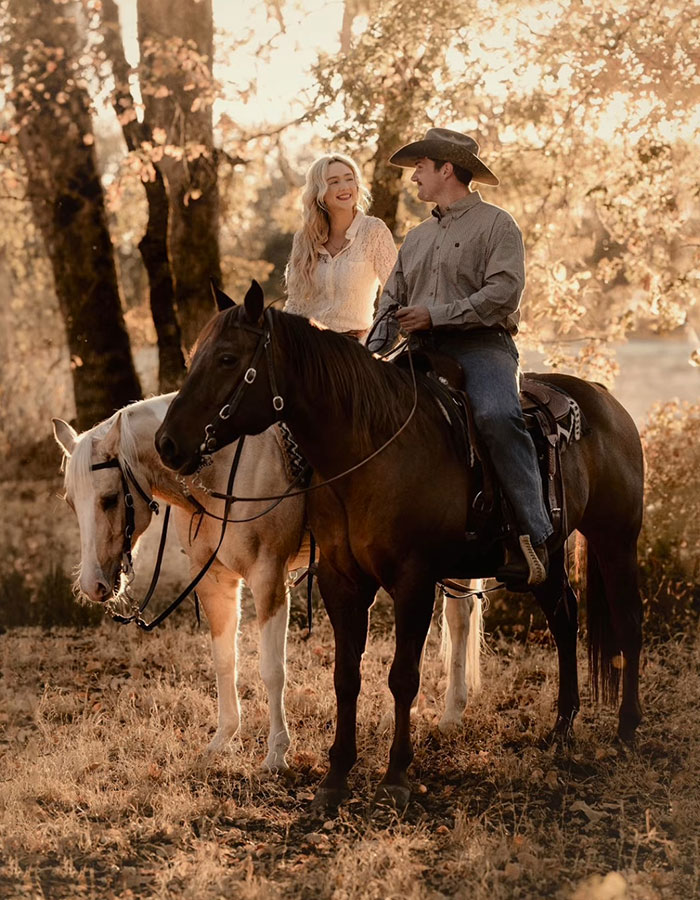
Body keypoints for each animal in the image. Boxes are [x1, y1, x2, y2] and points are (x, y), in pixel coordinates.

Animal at [52, 398, 306, 768]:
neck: (223, 472)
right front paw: (222, 740)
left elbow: (272, 669)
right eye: (71, 503)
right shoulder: (214, 581)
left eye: (110, 499)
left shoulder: (268, 577)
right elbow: (224, 660)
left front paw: (276, 754)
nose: (91, 585)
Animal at [154, 284, 644, 812]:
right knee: (565, 619)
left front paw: (395, 776)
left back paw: (627, 728)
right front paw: (336, 776)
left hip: (616, 541)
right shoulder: (341, 582)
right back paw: (562, 728)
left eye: (227, 358)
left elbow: (402, 677)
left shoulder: (414, 582)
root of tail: (606, 402)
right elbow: (346, 677)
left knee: (628, 623)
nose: (167, 443)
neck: (371, 450)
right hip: (547, 557)